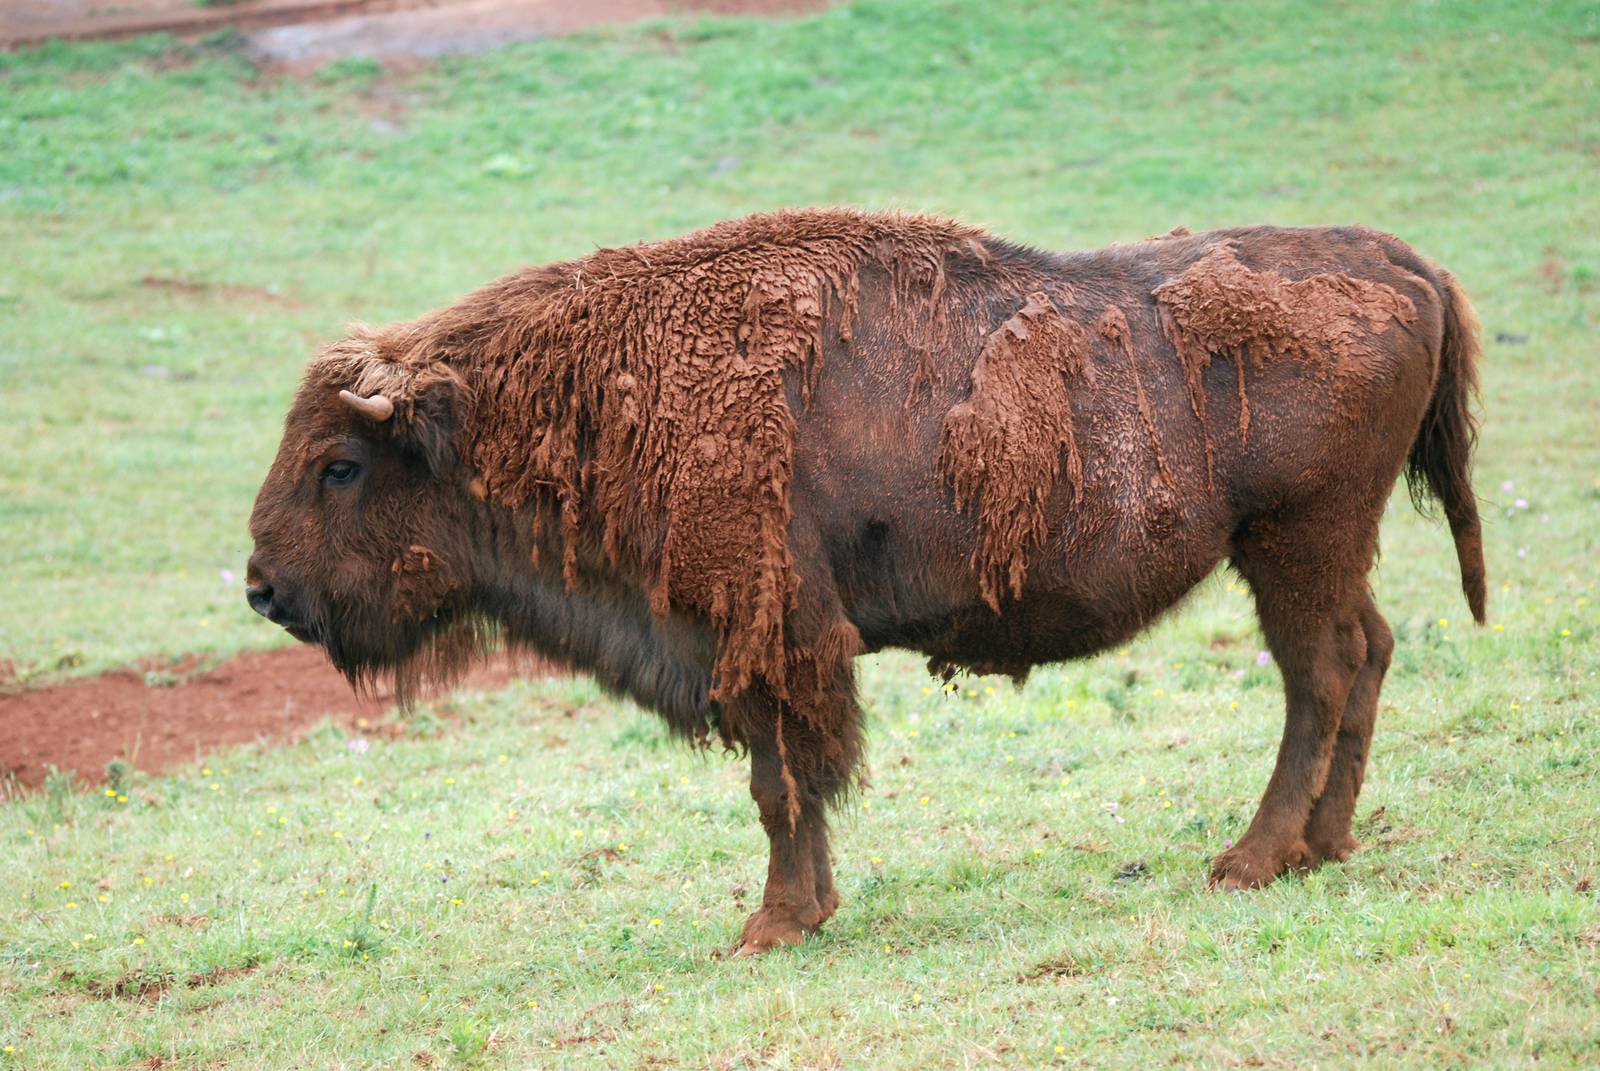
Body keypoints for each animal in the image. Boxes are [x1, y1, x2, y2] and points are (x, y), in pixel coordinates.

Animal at [247, 209, 1484, 953]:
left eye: (339, 463)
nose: (261, 588)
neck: (604, 387)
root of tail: (1398, 260)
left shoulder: (768, 636)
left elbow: (783, 783)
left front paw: (774, 925)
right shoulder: (757, 645)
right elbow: (786, 782)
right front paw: (800, 912)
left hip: (1294, 542)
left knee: (1319, 676)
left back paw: (1250, 860)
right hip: (1318, 550)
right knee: (1366, 655)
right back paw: (1323, 845)